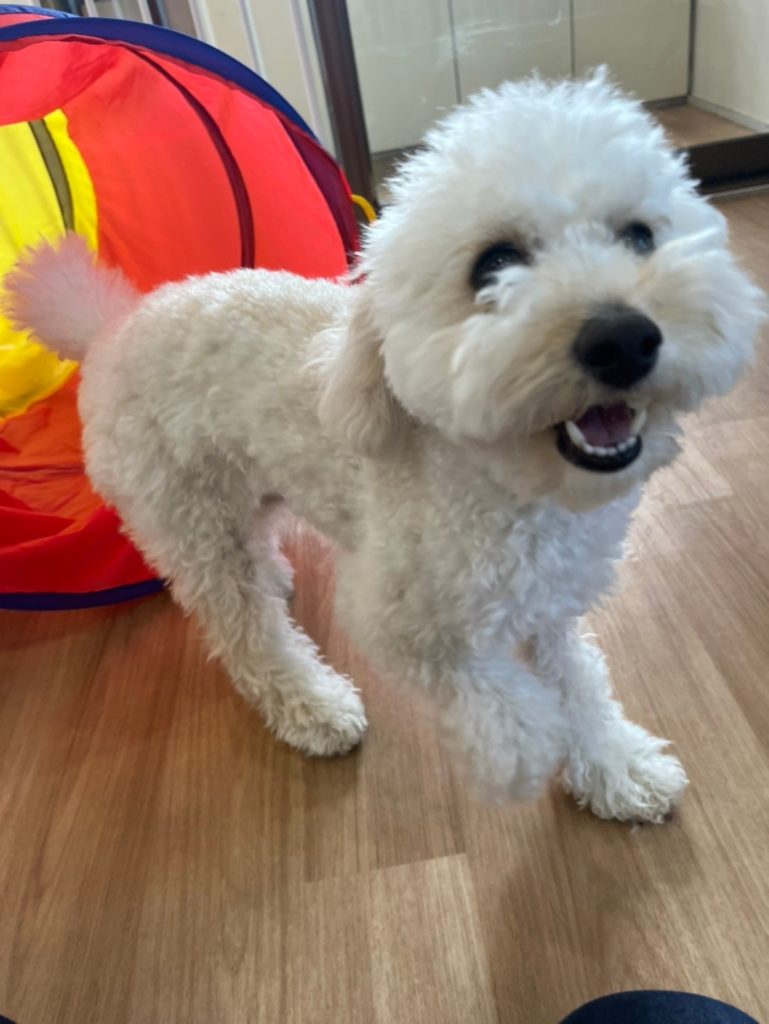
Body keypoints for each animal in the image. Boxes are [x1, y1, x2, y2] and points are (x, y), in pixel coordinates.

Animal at [6, 71, 764, 823]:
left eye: (638, 236)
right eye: (493, 264)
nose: (622, 338)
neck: (512, 486)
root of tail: (110, 328)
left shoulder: (548, 598)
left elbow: (577, 680)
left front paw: (612, 765)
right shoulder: (396, 614)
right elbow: (491, 694)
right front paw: (522, 754)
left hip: (245, 487)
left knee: (255, 544)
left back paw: (274, 575)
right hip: (186, 516)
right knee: (246, 631)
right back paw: (312, 703)